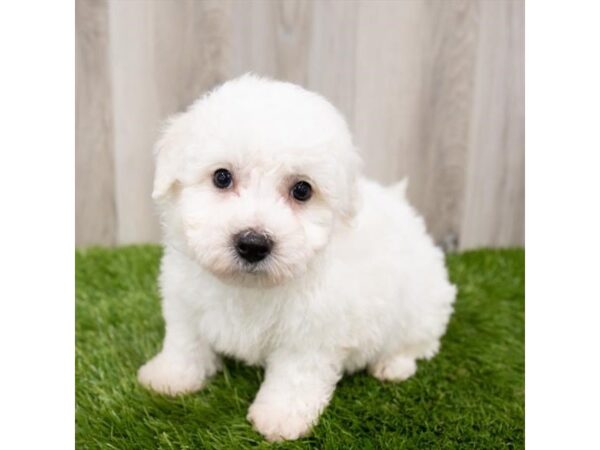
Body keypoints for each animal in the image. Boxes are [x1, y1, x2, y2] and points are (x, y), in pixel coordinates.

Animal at [137, 75, 454, 442]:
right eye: (221, 177)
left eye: (302, 190)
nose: (253, 244)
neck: (249, 287)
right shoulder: (185, 299)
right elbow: (185, 341)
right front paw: (170, 377)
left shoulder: (312, 332)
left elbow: (295, 375)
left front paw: (279, 418)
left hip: (421, 303)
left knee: (420, 340)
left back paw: (393, 365)